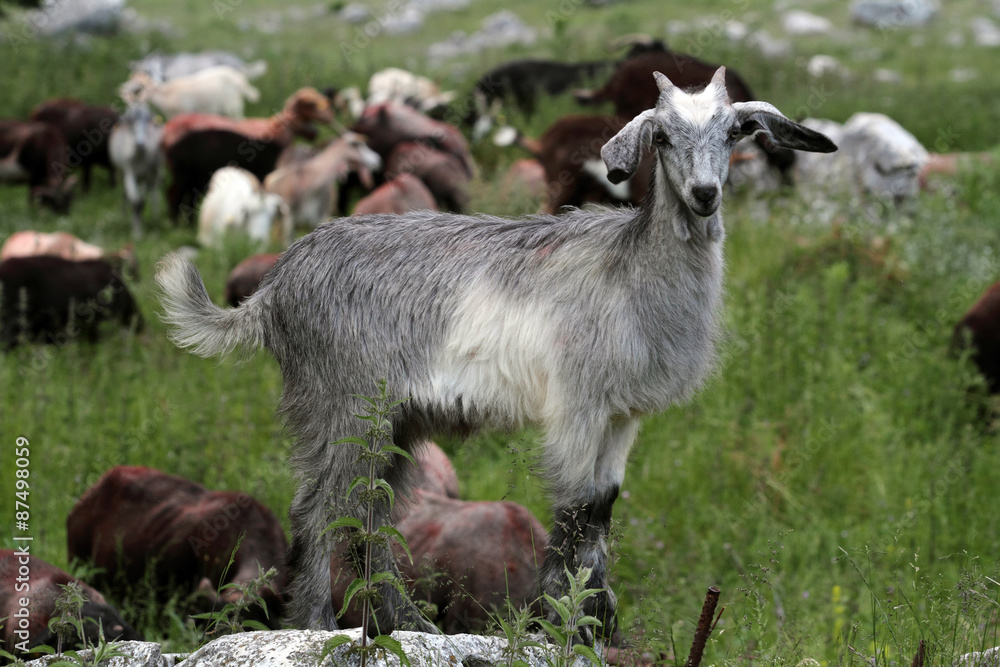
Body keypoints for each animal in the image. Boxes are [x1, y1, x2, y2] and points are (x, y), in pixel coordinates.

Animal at [109, 101, 163, 238]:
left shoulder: (146, 174)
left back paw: (155, 218)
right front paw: (136, 231)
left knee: (154, 194)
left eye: (147, 120)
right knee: (125, 194)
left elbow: (142, 201)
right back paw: (123, 216)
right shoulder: (129, 173)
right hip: (124, 173)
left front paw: (138, 231)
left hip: (153, 173)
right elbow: (135, 201)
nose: (140, 144)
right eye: (131, 121)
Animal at [156, 68, 836, 641]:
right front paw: (559, 625)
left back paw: (408, 626)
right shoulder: (576, 407)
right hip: (343, 404)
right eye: (663, 136)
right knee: (323, 510)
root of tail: (274, 289)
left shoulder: (620, 418)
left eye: (735, 132)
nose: (704, 194)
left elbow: (602, 513)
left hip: (394, 421)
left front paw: (599, 627)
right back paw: (320, 625)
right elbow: (573, 512)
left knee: (370, 517)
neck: (629, 270)